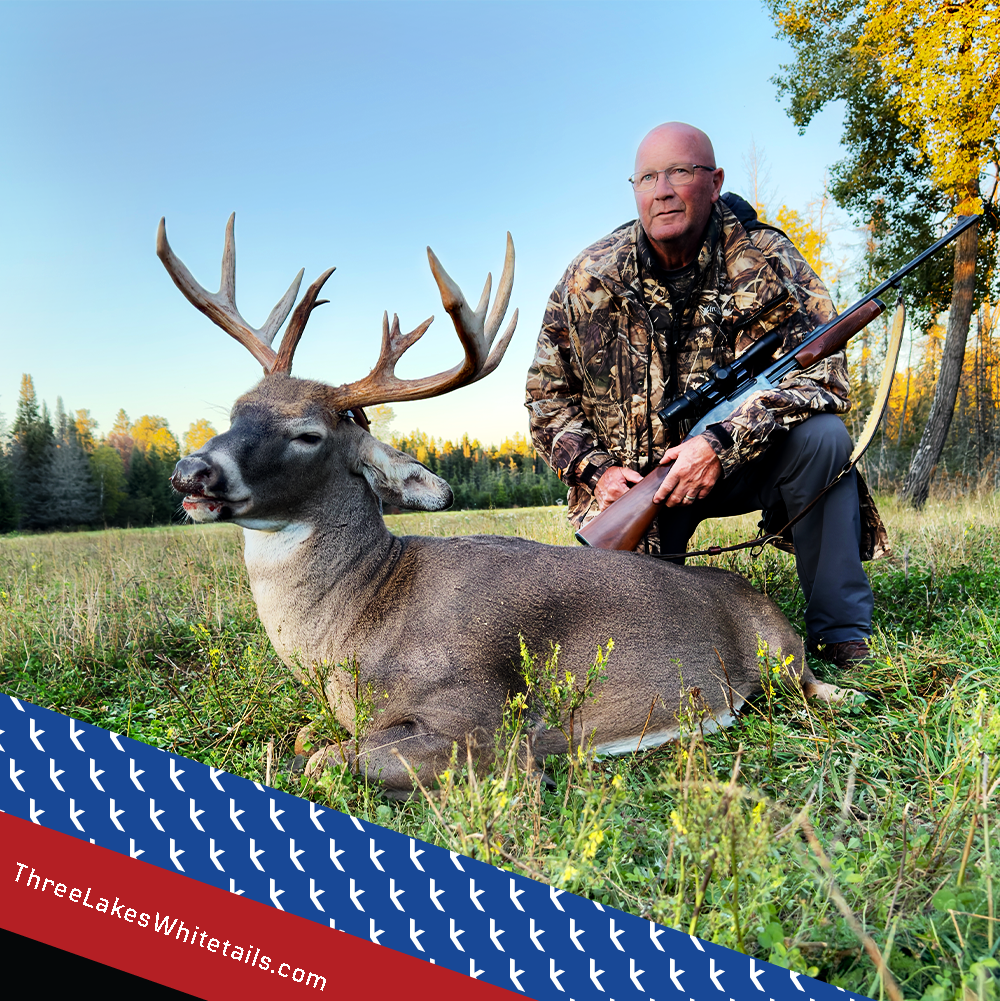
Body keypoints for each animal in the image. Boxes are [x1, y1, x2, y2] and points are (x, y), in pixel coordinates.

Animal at [164, 215, 849, 795]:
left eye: (308, 434)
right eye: (234, 411)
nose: (190, 471)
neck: (356, 624)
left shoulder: (477, 720)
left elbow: (324, 759)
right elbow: (309, 737)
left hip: (782, 658)